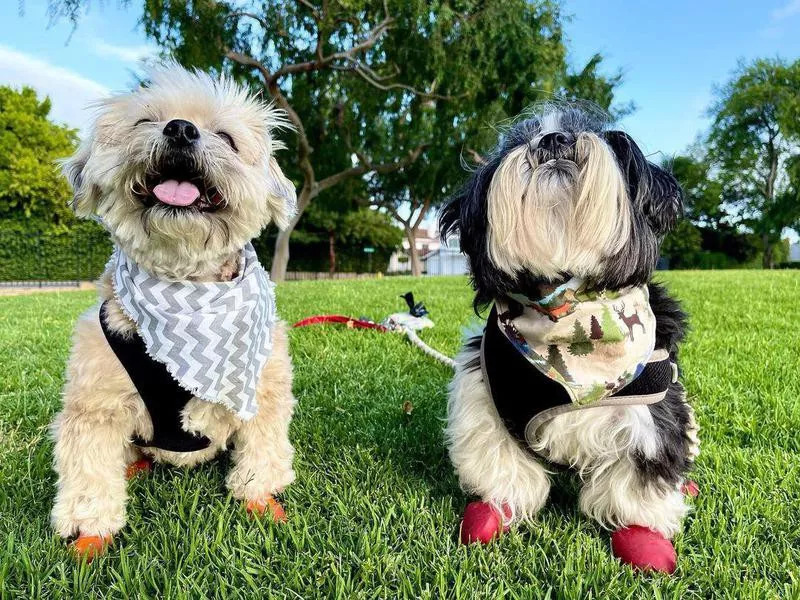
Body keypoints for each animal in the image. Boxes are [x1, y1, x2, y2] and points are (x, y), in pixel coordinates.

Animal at [51, 63, 298, 560]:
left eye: (226, 137)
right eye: (146, 121)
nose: (181, 129)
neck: (186, 286)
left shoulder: (264, 386)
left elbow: (262, 446)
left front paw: (258, 493)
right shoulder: (94, 403)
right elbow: (88, 465)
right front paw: (89, 525)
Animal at [440, 105, 696, 576]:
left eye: (590, 132)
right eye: (519, 139)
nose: (554, 140)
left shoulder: (651, 410)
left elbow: (640, 477)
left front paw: (642, 534)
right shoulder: (487, 399)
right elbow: (502, 464)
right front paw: (497, 510)